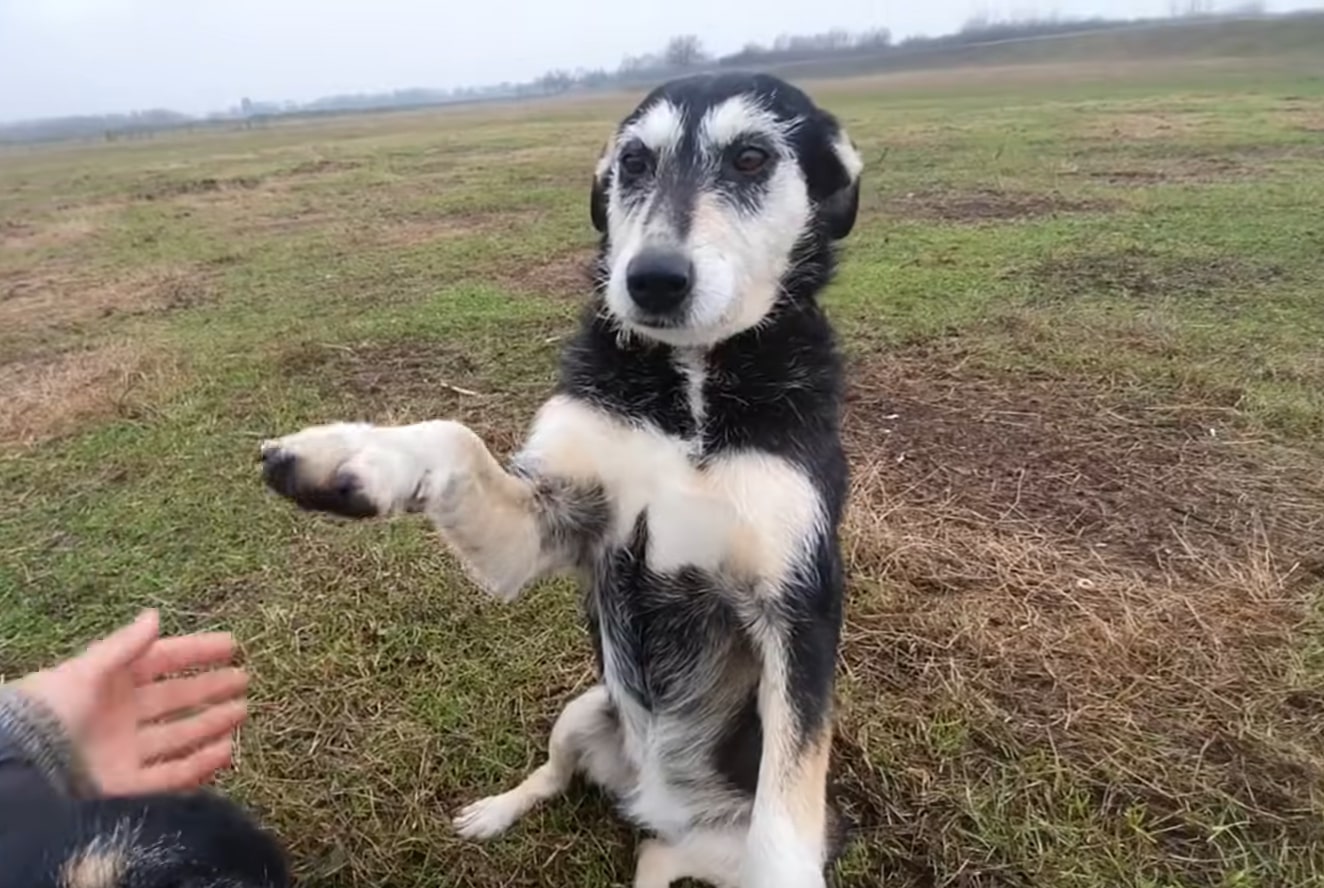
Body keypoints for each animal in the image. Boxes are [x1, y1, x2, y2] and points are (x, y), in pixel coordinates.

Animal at [260, 71, 857, 888]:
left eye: (751, 157)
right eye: (634, 161)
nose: (653, 280)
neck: (691, 389)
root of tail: (656, 808)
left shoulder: (798, 608)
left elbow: (785, 817)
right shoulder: (558, 524)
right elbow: (456, 437)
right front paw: (352, 456)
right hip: (586, 708)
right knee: (554, 776)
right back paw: (494, 812)